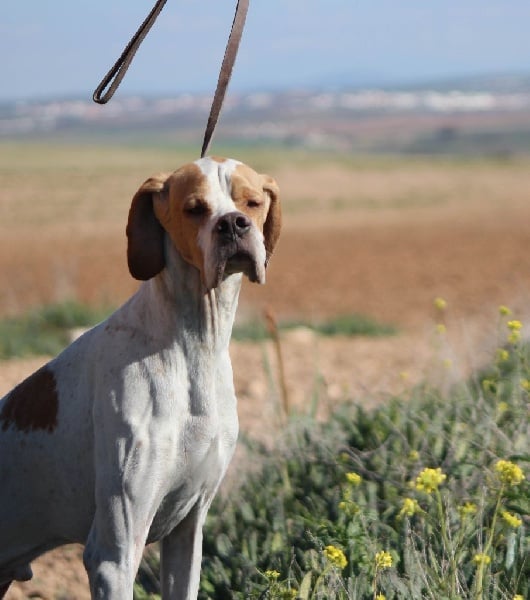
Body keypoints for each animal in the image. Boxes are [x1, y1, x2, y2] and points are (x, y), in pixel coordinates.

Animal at [0, 157, 280, 596]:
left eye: (251, 202)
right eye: (194, 208)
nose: (234, 224)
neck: (191, 345)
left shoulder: (187, 533)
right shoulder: (113, 554)